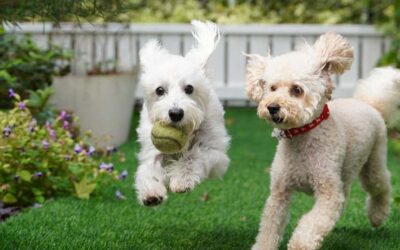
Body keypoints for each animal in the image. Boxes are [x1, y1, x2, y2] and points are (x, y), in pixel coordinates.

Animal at [134, 20, 230, 206]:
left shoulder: (216, 153)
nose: (176, 113)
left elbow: (195, 156)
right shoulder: (152, 151)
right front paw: (151, 193)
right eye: (160, 90)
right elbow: (148, 170)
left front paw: (182, 179)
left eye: (189, 88)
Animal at [245, 32, 398, 249]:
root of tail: (369, 104)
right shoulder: (280, 192)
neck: (302, 137)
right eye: (272, 88)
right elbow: (269, 226)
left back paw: (377, 215)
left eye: (297, 90)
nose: (272, 107)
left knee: (381, 185)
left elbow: (312, 223)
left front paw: (300, 244)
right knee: (345, 197)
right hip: (344, 173)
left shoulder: (328, 193)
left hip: (373, 163)